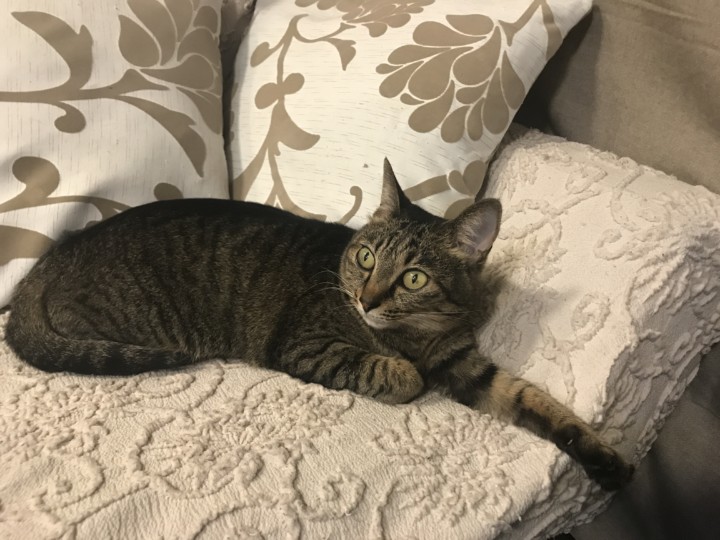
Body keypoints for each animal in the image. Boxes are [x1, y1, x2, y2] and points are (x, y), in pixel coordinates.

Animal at [6, 159, 633, 490]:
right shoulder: (307, 346)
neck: (418, 333)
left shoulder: (471, 367)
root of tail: (48, 262)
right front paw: (405, 370)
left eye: (413, 278)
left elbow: (536, 400)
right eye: (366, 258)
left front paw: (601, 456)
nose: (365, 296)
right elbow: (401, 375)